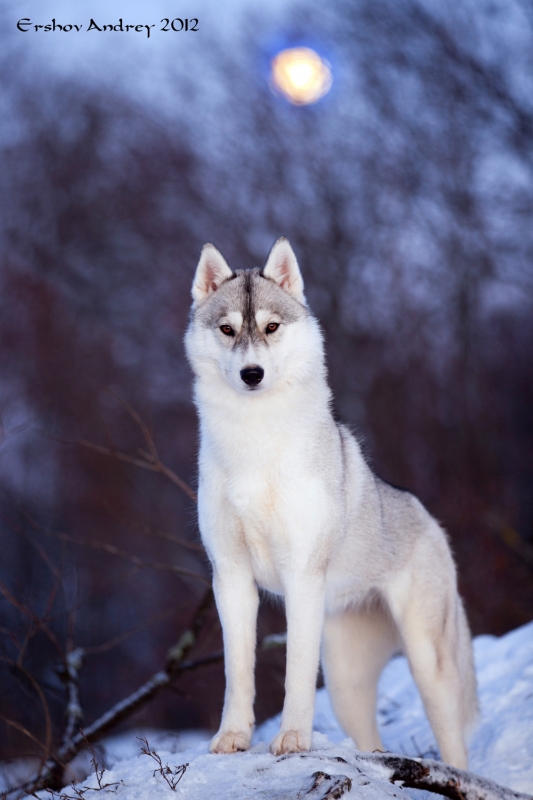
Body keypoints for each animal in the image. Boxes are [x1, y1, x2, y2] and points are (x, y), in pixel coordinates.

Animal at [185, 236, 476, 768]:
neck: (256, 445)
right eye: (227, 329)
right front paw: (232, 739)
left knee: (457, 752)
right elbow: (238, 673)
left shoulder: (302, 576)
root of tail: (428, 518)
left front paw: (293, 740)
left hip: (430, 668)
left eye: (272, 327)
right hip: (345, 686)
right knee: (370, 741)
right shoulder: (231, 578)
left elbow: (296, 670)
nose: (252, 374)